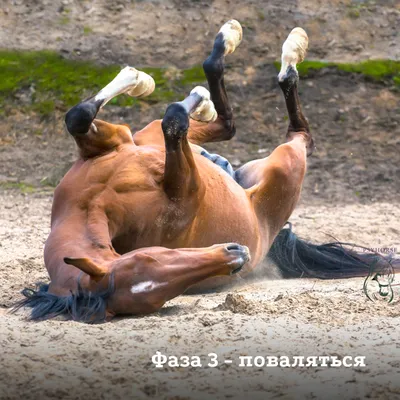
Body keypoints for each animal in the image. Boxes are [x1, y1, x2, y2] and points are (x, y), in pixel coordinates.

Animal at [14, 21, 398, 322]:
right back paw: (285, 54)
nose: (236, 253)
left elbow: (79, 116)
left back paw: (223, 55)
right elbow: (173, 119)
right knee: (297, 131)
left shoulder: (115, 139)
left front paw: (139, 79)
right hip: (286, 165)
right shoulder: (188, 186)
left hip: (148, 136)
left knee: (223, 121)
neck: (94, 203)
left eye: (149, 256)